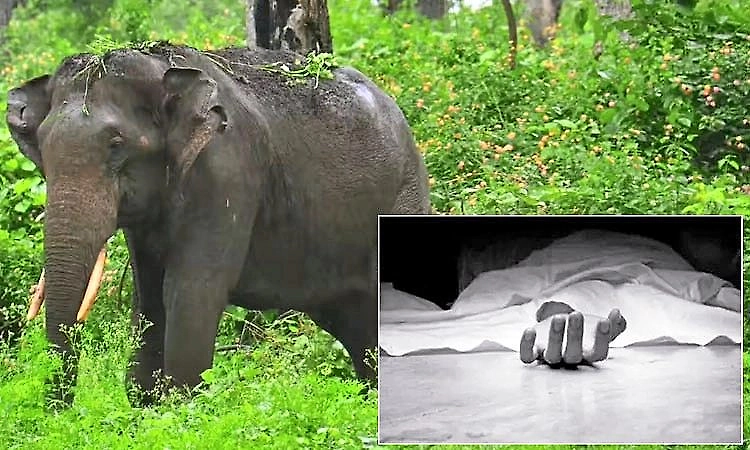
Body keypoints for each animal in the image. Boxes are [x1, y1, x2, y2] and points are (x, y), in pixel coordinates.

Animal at [6, 44, 430, 405]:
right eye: (42, 147)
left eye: (116, 144)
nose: (60, 410)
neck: (161, 69)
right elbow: (149, 296)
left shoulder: (226, 173)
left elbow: (192, 291)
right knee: (356, 326)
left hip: (403, 198)